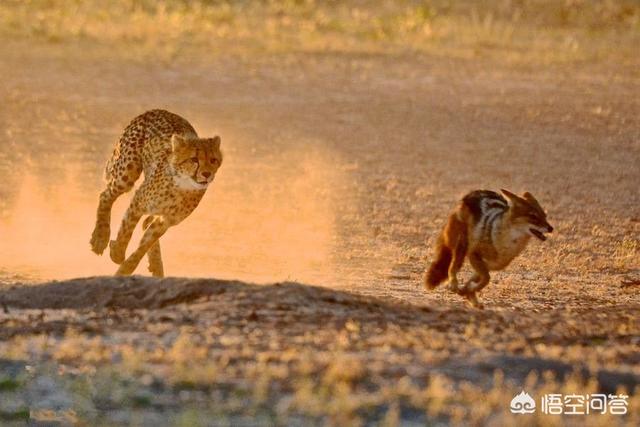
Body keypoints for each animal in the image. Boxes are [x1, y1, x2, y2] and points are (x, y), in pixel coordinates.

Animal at [89, 110, 221, 278]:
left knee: (145, 223)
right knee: (105, 195)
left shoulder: (166, 221)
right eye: (194, 159)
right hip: (126, 173)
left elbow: (143, 246)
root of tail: (157, 110)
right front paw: (118, 252)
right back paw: (100, 237)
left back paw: (156, 265)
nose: (206, 174)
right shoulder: (139, 202)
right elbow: (126, 229)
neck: (182, 187)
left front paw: (126, 268)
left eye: (213, 160)